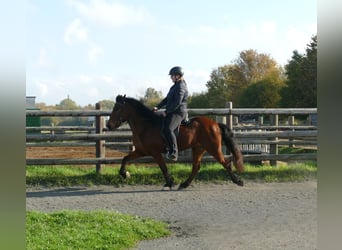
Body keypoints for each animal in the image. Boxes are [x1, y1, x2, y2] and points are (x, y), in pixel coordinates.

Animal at [107, 94, 243, 188]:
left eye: (118, 108)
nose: (109, 125)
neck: (146, 126)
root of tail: (214, 124)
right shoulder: (141, 151)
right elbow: (125, 159)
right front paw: (125, 174)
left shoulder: (155, 152)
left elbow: (163, 167)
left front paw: (169, 183)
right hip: (198, 148)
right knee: (196, 167)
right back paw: (185, 184)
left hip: (213, 148)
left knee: (226, 163)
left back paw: (238, 181)